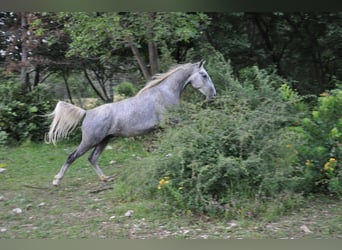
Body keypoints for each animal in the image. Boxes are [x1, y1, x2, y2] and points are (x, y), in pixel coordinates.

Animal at [46, 60, 215, 186]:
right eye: (204, 75)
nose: (213, 95)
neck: (164, 93)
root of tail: (87, 112)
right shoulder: (170, 122)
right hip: (90, 141)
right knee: (72, 156)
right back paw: (56, 181)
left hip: (104, 140)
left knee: (92, 159)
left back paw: (105, 179)